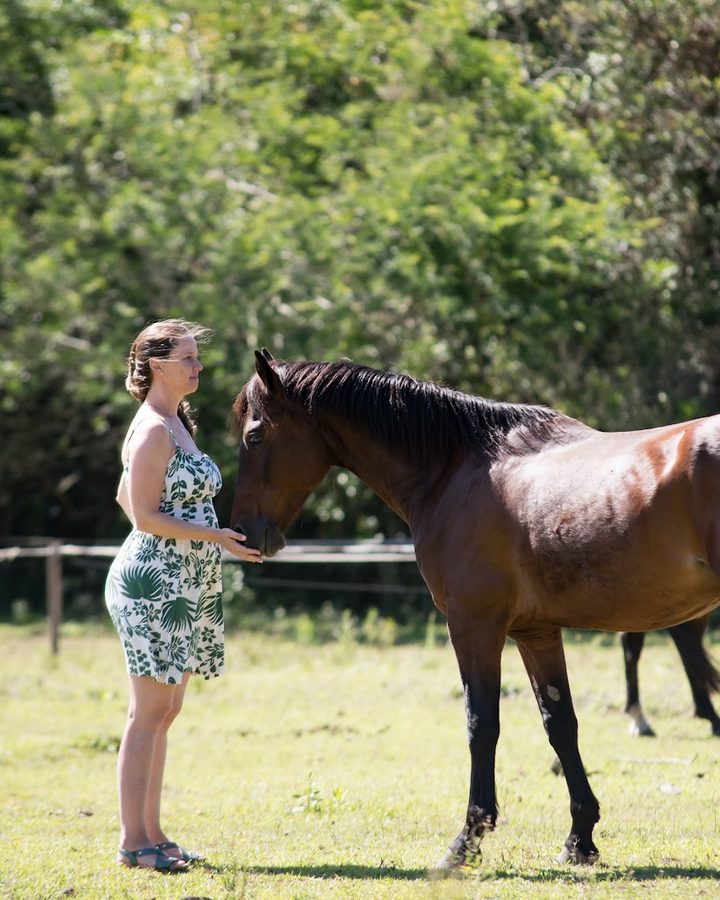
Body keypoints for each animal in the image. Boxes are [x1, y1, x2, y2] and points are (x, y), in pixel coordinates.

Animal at [230, 350, 720, 870]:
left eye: (255, 436)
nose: (242, 533)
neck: (455, 471)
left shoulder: (473, 626)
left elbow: (481, 725)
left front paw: (466, 842)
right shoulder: (536, 633)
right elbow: (560, 725)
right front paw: (579, 838)